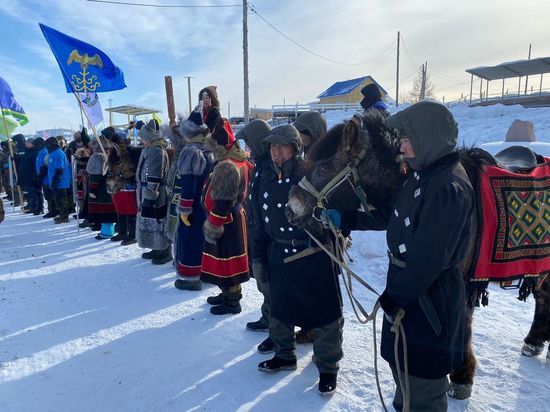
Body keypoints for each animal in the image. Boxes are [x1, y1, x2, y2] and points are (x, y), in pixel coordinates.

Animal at [286, 109, 550, 400]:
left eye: (322, 168)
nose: (290, 208)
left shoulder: (463, 283)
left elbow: (465, 327)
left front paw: (462, 376)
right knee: (544, 298)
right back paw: (534, 342)